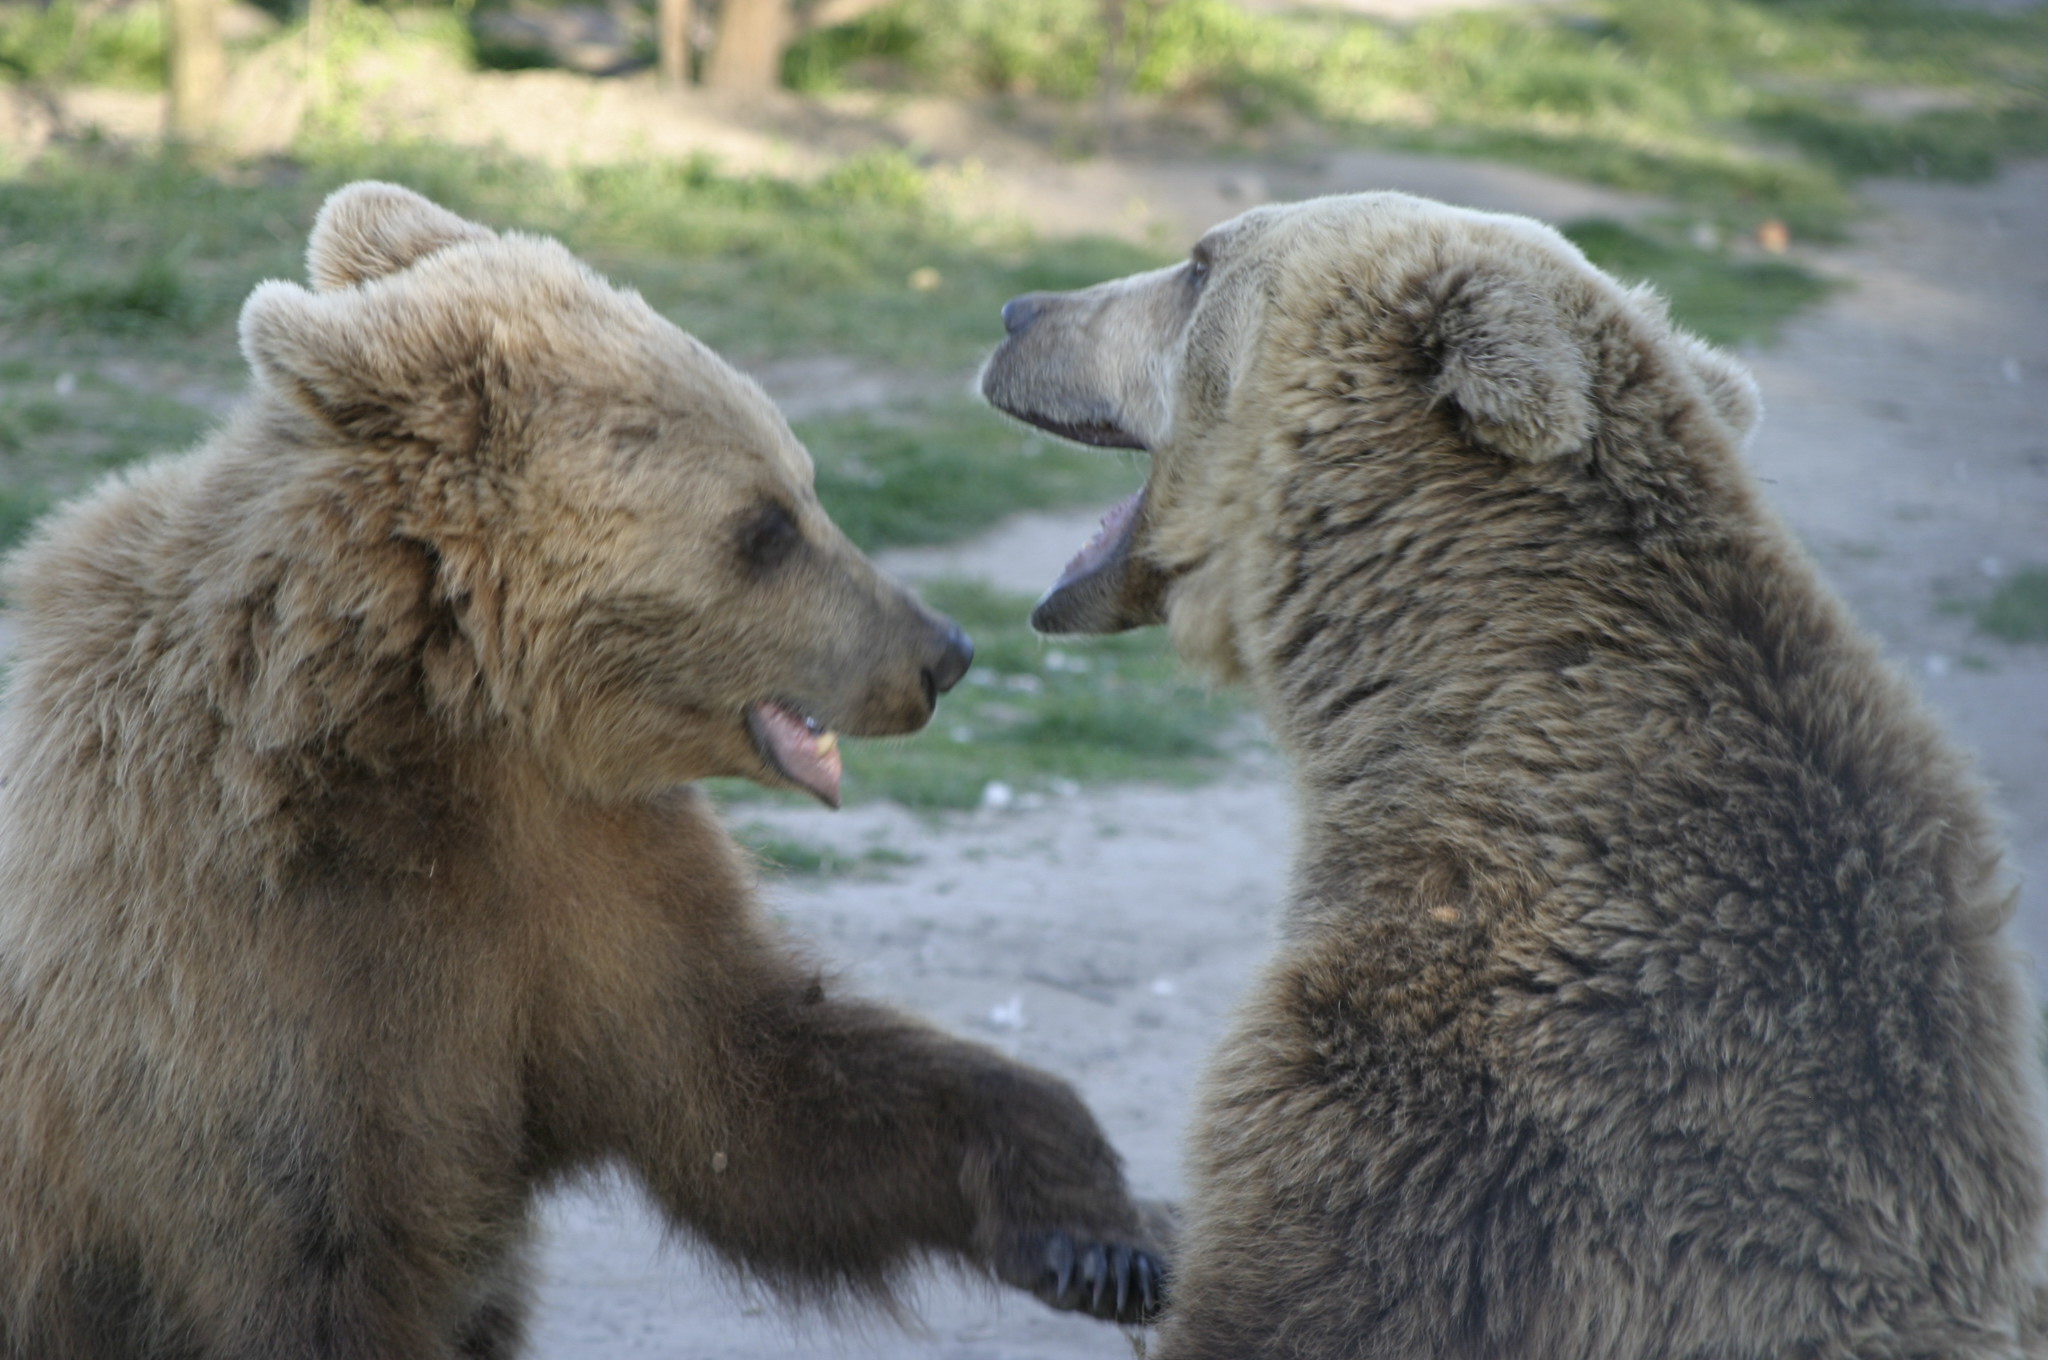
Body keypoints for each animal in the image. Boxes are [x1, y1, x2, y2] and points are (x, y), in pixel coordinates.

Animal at [0, 183, 1163, 1360]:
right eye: (765, 528)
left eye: (804, 488)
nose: (941, 652)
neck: (447, 726)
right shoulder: (242, 973)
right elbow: (320, 1252)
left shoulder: (586, 876)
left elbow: (758, 1098)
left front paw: (1100, 1229)